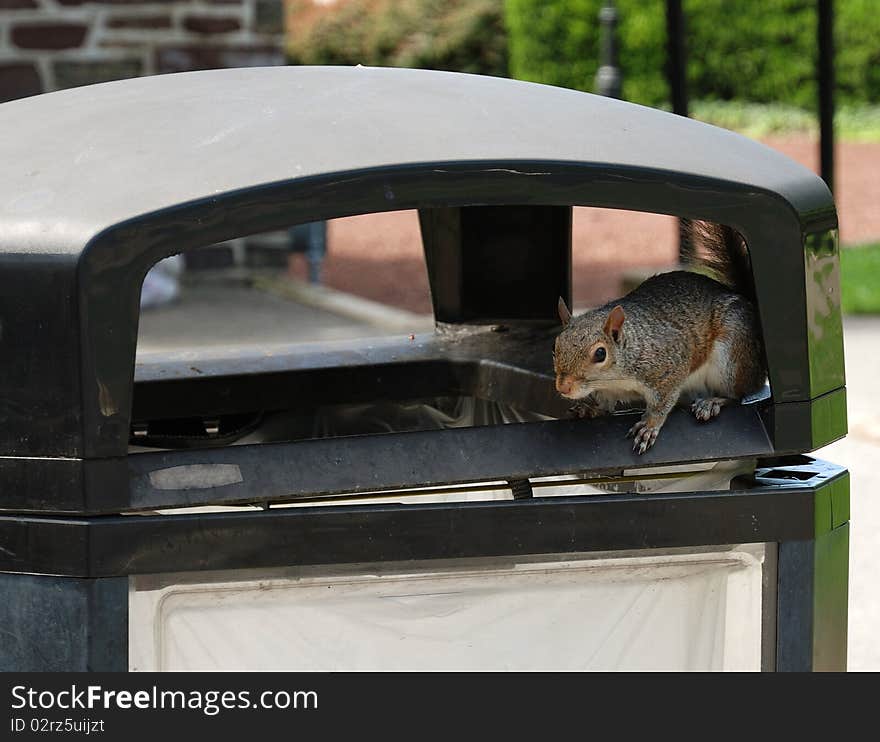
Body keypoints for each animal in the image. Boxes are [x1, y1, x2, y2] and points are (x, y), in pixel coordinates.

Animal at [552, 218, 768, 456]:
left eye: (600, 353)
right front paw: (589, 408)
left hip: (731, 359)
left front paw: (649, 425)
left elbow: (662, 402)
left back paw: (712, 402)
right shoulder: (607, 390)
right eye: (555, 347)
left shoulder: (669, 366)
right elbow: (605, 405)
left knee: (739, 394)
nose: (563, 388)